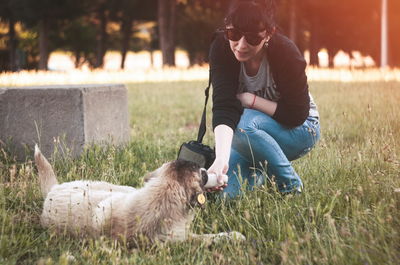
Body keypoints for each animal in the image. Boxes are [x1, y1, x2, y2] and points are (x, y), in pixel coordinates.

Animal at [34, 144, 245, 243]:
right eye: (203, 173)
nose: (217, 175)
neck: (164, 193)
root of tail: (52, 190)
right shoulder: (181, 239)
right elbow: (209, 238)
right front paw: (232, 236)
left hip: (119, 189)